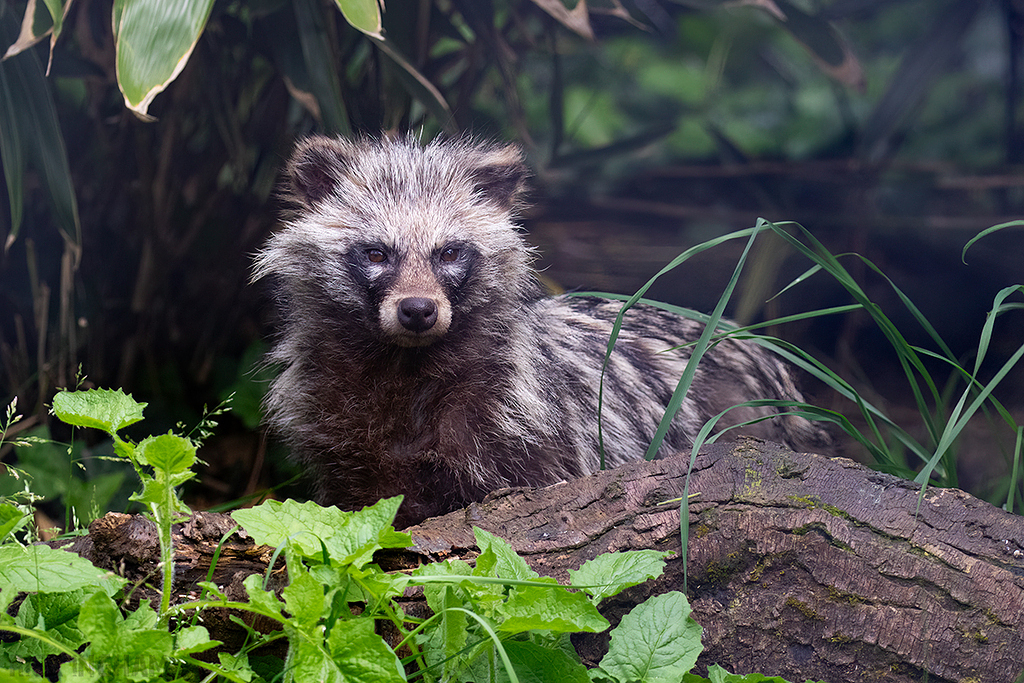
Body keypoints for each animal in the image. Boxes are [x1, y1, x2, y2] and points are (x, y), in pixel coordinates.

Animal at [254, 135, 831, 528]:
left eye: (450, 252)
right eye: (376, 253)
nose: (418, 310)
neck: (403, 367)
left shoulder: (523, 424)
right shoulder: (334, 424)